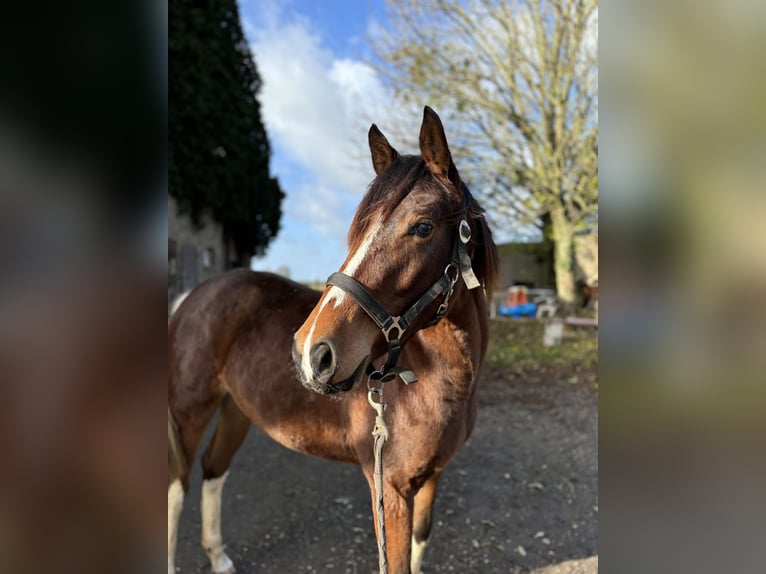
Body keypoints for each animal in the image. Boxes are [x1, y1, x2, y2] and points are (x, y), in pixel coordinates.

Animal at [167, 106, 498, 574]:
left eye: (422, 227)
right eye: (358, 229)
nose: (311, 351)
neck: (437, 381)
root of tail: (192, 296)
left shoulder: (432, 478)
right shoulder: (390, 491)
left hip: (236, 410)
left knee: (214, 468)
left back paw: (220, 558)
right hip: (189, 413)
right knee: (175, 488)